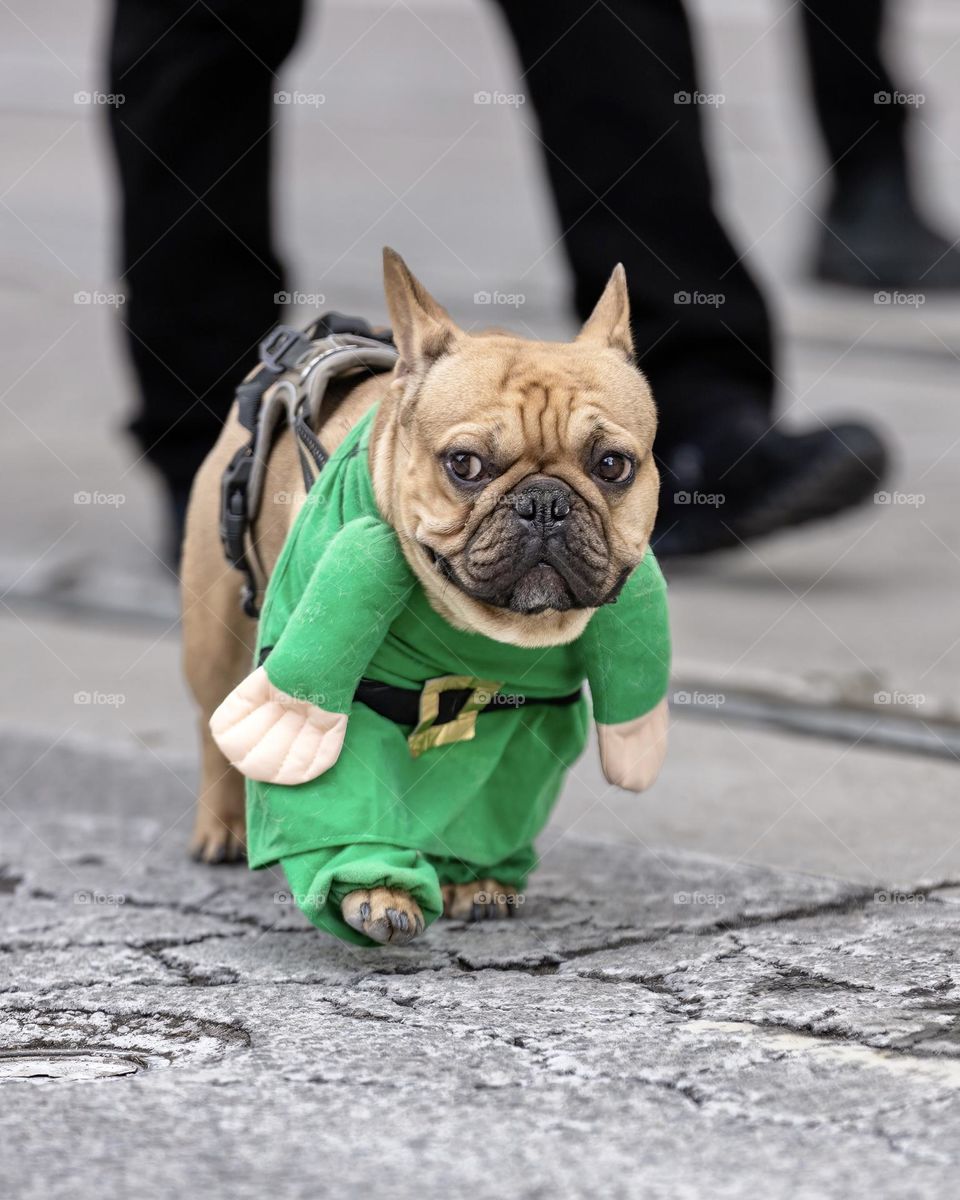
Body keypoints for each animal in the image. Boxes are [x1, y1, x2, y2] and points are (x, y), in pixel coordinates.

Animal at [183, 250, 672, 945]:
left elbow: (492, 803)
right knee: (216, 726)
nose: (545, 503)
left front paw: (479, 879)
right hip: (214, 630)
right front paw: (376, 893)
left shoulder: (529, 720)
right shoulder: (333, 683)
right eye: (464, 464)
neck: (485, 632)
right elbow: (342, 797)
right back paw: (220, 828)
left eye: (612, 466)